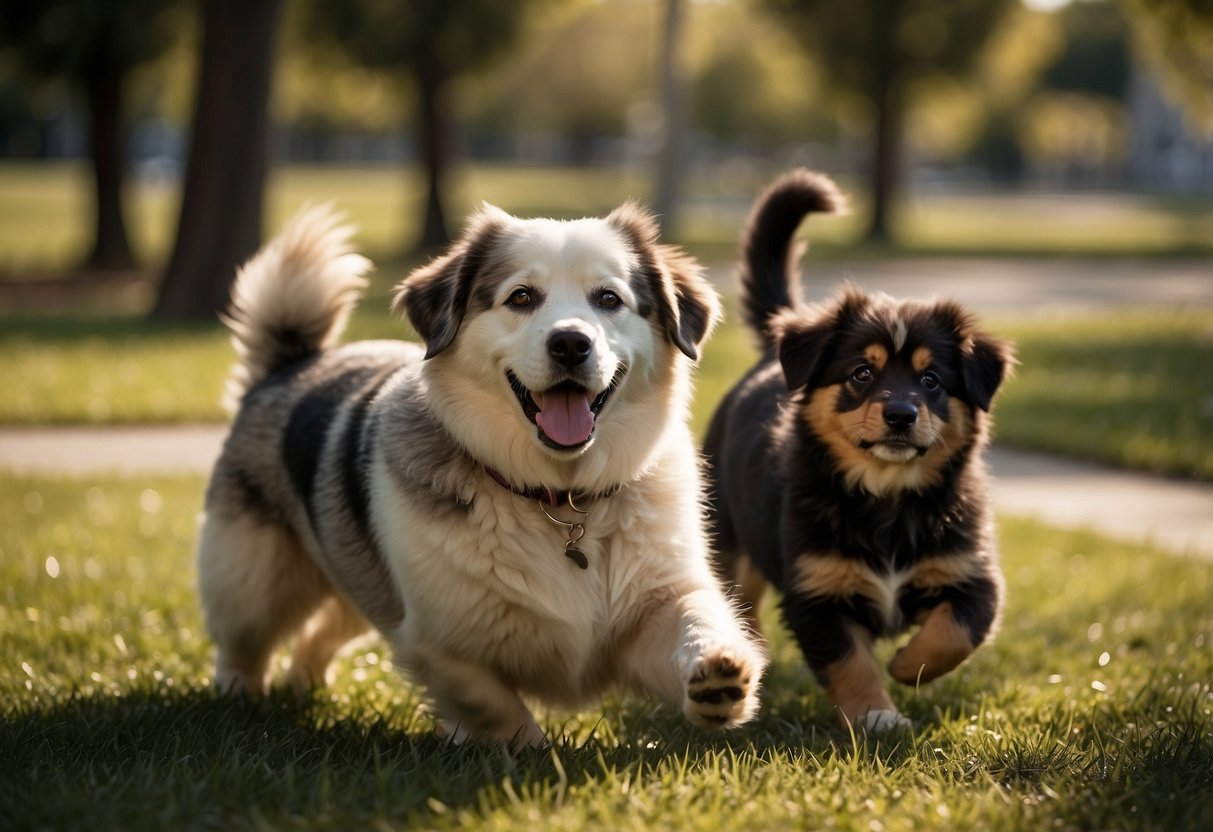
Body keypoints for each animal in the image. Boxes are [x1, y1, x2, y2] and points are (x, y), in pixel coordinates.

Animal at [703, 172, 1014, 732]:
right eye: (861, 374)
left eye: (931, 380)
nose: (901, 415)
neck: (888, 497)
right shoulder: (817, 592)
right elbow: (849, 662)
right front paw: (877, 715)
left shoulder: (971, 574)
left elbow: (954, 633)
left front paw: (908, 665)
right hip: (730, 542)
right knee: (741, 604)